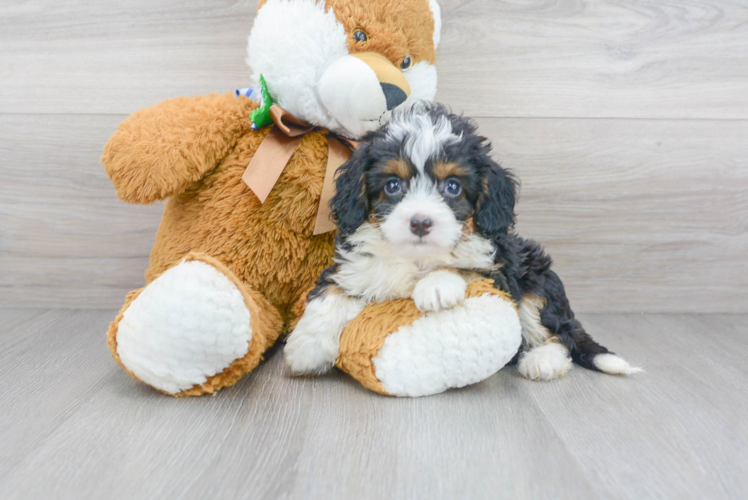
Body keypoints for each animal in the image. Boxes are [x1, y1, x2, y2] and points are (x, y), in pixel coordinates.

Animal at [284, 103, 640, 380]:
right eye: (393, 185)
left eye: (453, 187)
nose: (420, 222)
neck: (415, 257)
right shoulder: (352, 266)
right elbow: (330, 293)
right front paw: (307, 347)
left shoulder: (498, 268)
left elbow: (467, 267)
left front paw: (437, 284)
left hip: (536, 278)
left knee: (553, 332)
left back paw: (542, 361)